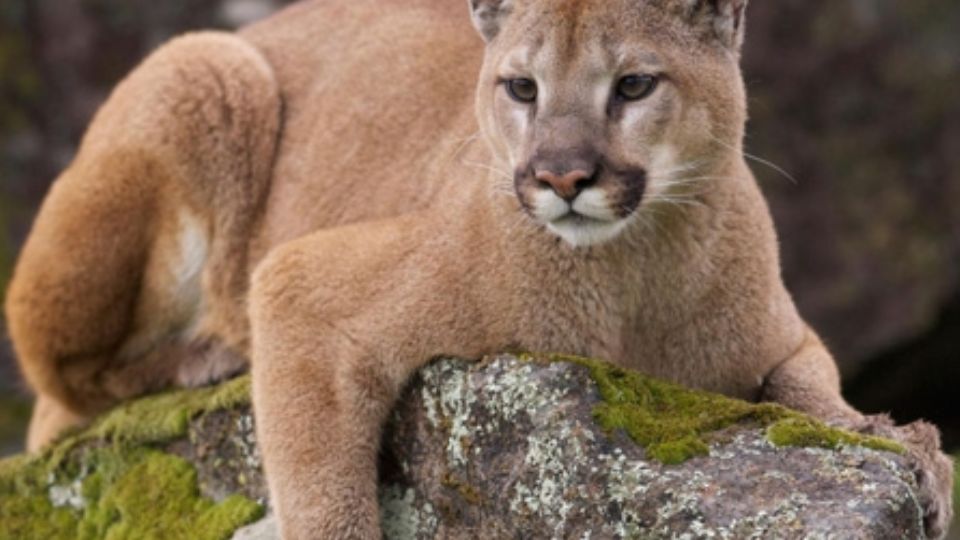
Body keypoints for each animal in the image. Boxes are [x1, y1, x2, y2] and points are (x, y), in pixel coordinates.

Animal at [5, 0, 952, 536]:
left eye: (634, 85)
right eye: (521, 87)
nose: (562, 177)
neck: (630, 276)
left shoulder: (784, 335)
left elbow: (810, 389)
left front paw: (903, 445)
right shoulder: (302, 285)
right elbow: (326, 503)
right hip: (205, 67)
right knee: (58, 388)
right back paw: (205, 354)